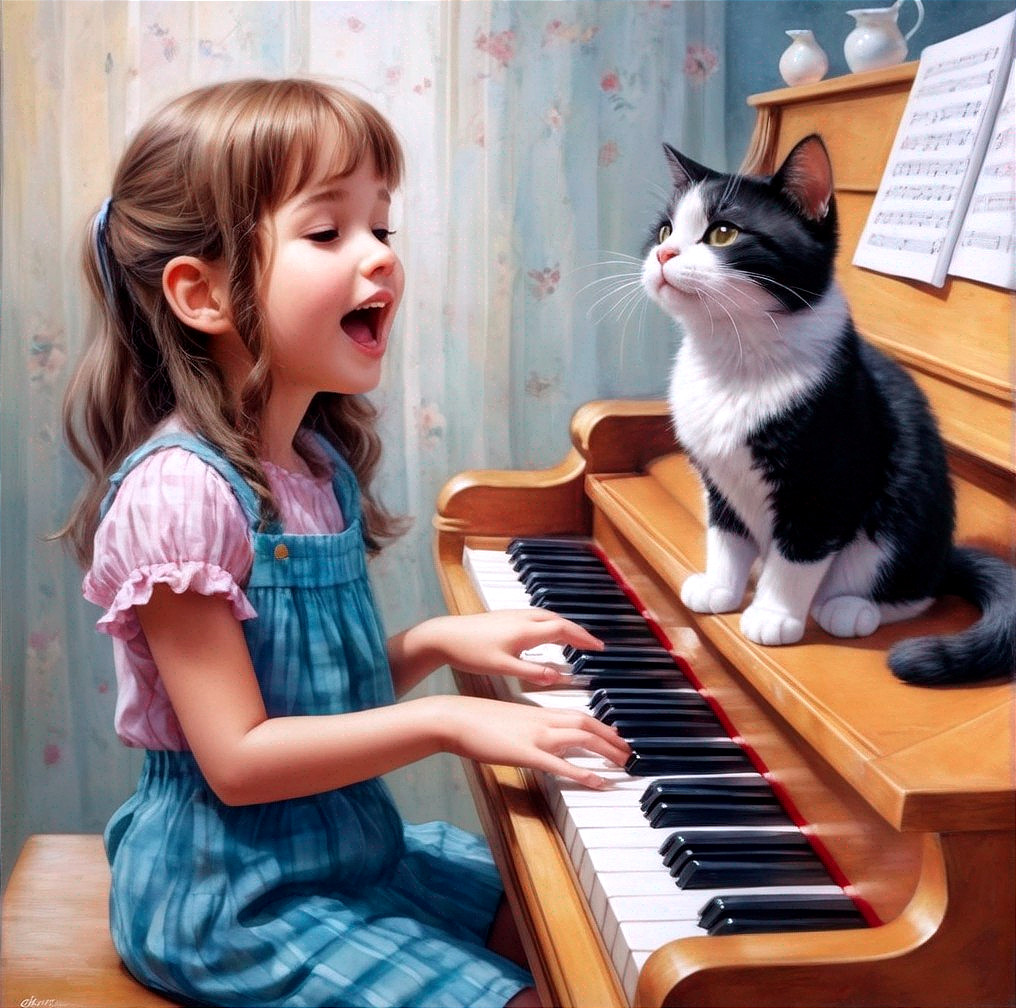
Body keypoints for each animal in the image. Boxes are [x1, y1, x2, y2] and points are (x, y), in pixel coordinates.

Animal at [638, 132, 1011, 686]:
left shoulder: (825, 480)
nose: (663, 252)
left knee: (912, 589)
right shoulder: (717, 478)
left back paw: (850, 608)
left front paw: (774, 614)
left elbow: (799, 552)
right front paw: (721, 587)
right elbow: (725, 534)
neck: (733, 358)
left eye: (723, 233)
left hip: (905, 514)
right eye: (664, 229)